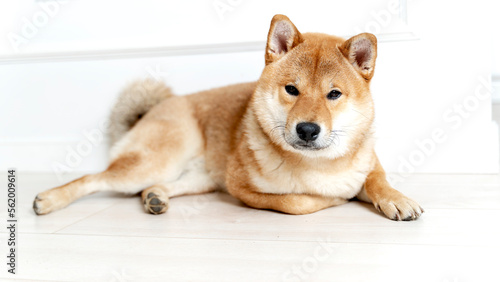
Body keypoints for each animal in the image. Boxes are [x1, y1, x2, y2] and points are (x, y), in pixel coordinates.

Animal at [32, 14, 422, 220]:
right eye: (291, 90)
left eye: (334, 94)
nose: (308, 129)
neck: (320, 165)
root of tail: (156, 109)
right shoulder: (240, 186)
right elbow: (298, 201)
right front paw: (338, 199)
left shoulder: (367, 163)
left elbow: (378, 180)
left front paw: (396, 198)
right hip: (157, 161)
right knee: (92, 178)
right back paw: (49, 200)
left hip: (197, 178)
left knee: (155, 186)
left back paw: (156, 197)